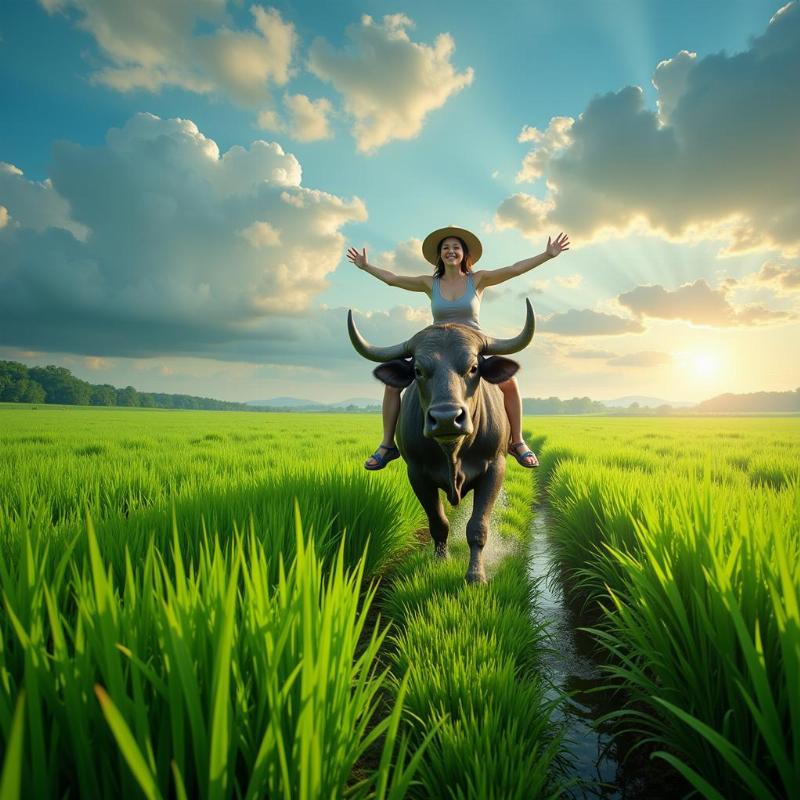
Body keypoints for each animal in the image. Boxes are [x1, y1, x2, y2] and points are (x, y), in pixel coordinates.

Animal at [346, 300, 536, 580]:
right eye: (417, 370)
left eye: (473, 367)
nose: (447, 418)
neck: (453, 451)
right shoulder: (417, 474)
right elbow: (438, 523)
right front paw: (440, 561)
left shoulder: (495, 468)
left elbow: (477, 526)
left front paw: (476, 574)